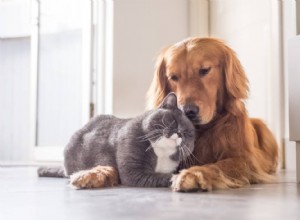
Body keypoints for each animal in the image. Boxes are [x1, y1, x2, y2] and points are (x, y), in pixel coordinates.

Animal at [38, 92, 195, 187]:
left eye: (188, 134)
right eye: (173, 120)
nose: (180, 133)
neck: (161, 153)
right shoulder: (133, 172)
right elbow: (162, 176)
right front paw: (179, 178)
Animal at [146, 37, 278, 191]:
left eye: (205, 70)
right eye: (173, 77)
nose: (188, 111)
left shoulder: (245, 160)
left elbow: (219, 165)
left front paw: (193, 174)